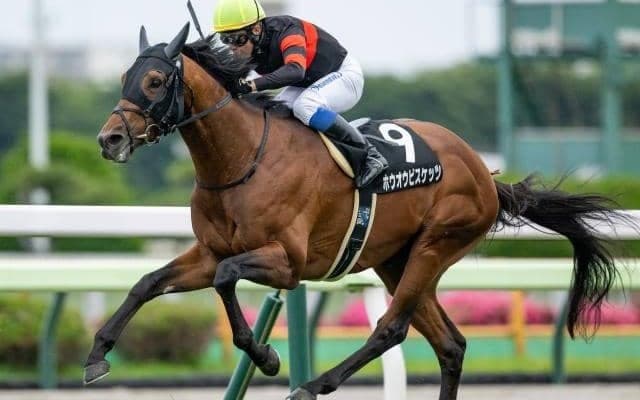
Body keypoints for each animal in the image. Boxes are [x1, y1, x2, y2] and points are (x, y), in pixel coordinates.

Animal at [87, 23, 626, 400]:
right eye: (125, 77)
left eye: (156, 80)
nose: (109, 139)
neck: (242, 160)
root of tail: (483, 173)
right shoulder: (208, 251)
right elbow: (148, 283)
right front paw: (97, 354)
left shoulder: (286, 262)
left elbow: (225, 279)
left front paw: (267, 358)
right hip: (396, 259)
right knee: (450, 344)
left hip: (436, 243)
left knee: (391, 327)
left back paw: (312, 384)